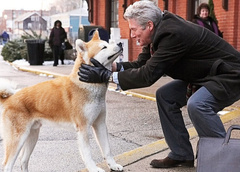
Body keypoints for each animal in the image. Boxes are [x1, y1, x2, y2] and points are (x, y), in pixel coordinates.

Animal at [0, 30, 124, 172]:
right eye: (104, 47)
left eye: (108, 43)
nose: (120, 43)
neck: (87, 84)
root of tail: (10, 98)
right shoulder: (83, 128)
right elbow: (88, 153)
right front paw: (93, 168)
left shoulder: (100, 124)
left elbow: (107, 150)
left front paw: (113, 165)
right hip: (18, 139)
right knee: (7, 165)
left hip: (32, 136)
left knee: (23, 160)